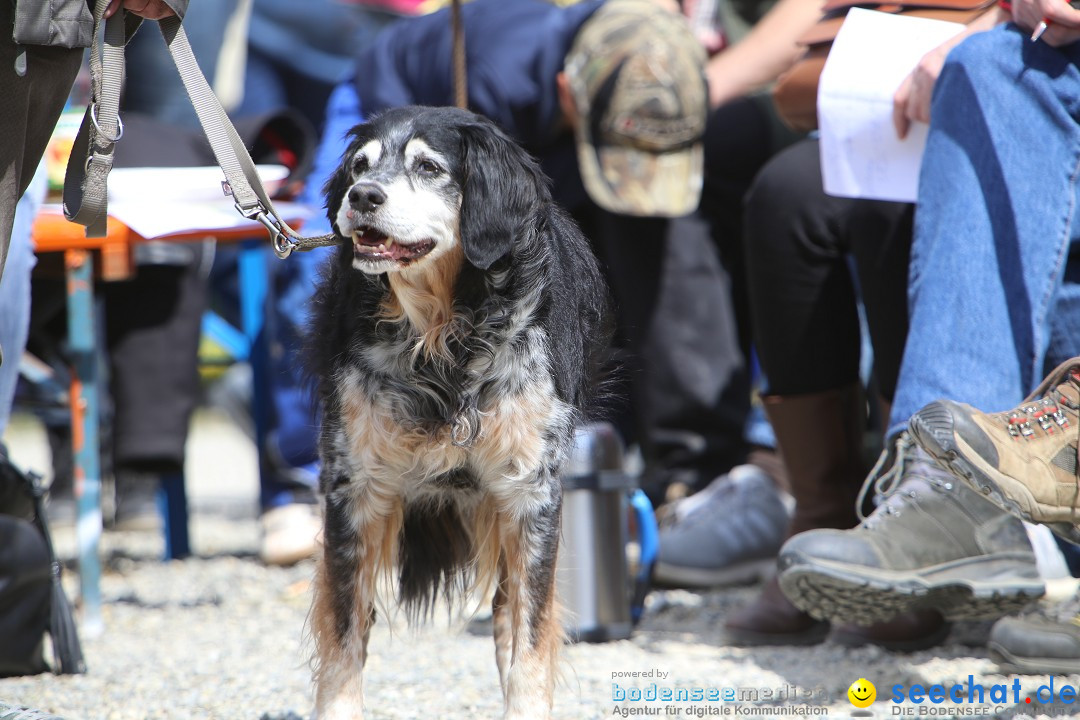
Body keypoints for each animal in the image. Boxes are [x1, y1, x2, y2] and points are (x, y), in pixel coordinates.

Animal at [304, 106, 613, 720]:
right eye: (359, 165)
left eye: (428, 167)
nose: (361, 196)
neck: (443, 336)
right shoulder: (353, 487)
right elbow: (344, 641)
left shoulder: (531, 495)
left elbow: (530, 644)